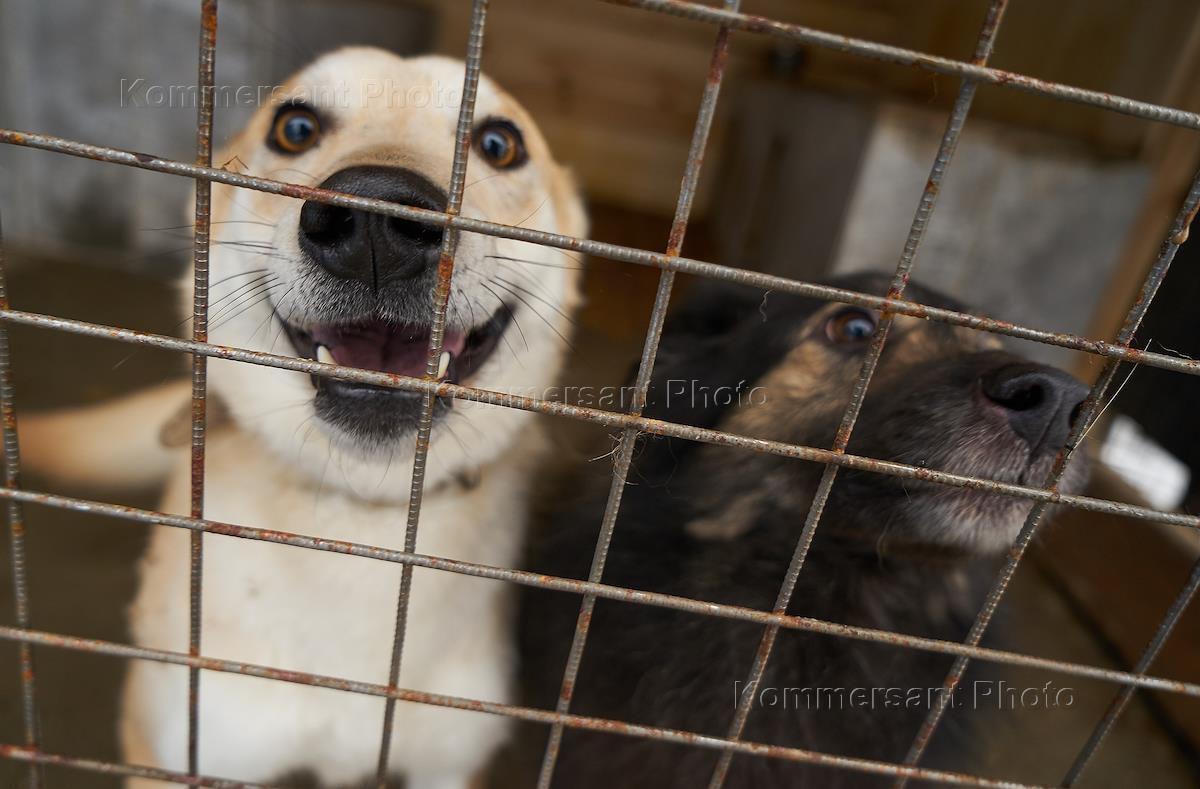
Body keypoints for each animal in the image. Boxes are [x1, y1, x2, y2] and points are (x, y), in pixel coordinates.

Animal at [23, 49, 585, 786]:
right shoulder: (178, 747)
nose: (376, 227)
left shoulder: (447, 763)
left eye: (498, 144)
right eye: (295, 128)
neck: (358, 522)